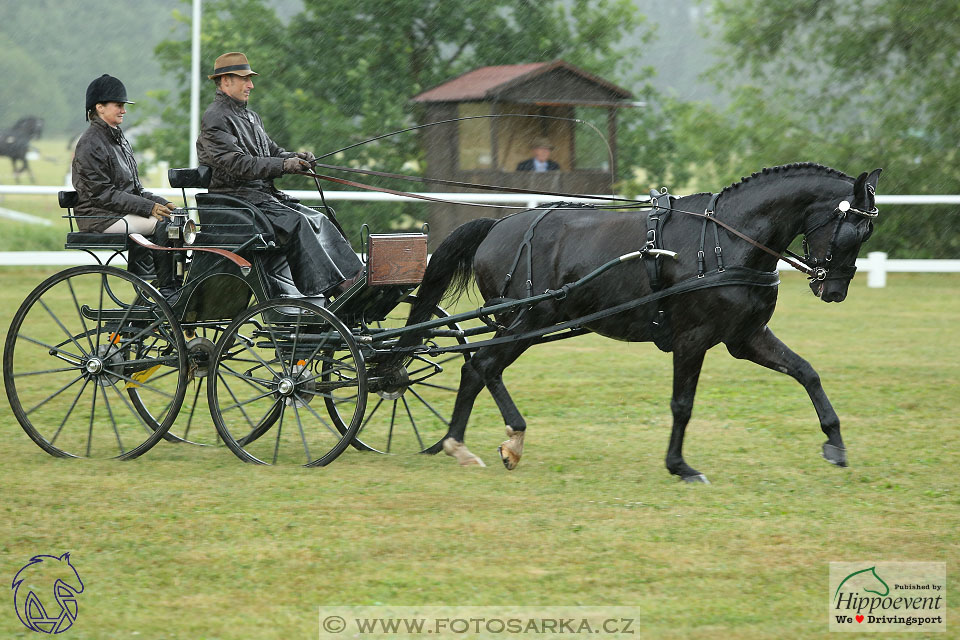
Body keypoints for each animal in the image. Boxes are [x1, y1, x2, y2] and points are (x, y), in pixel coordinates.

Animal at [394, 162, 880, 482]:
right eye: (855, 230)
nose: (834, 291)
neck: (725, 240)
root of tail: (499, 225)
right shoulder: (692, 338)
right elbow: (682, 405)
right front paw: (680, 466)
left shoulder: (746, 337)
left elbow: (806, 372)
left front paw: (835, 444)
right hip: (526, 320)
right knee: (483, 366)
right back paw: (502, 439)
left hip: (519, 323)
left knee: (475, 370)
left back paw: (461, 442)